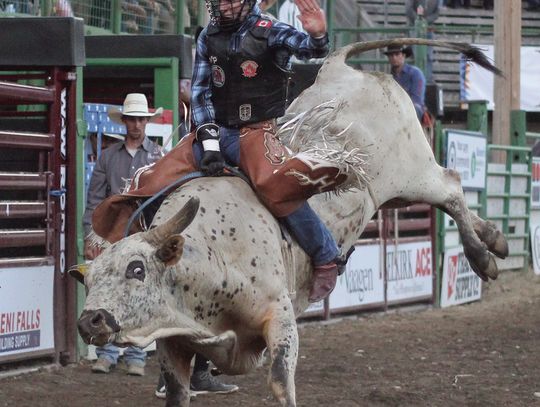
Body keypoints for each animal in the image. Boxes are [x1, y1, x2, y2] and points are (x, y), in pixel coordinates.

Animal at [78, 38, 508, 407]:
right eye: (89, 278)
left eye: (137, 268)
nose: (88, 320)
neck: (211, 256)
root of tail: (338, 68)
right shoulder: (174, 340)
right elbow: (177, 392)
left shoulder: (280, 316)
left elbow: (280, 382)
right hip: (398, 193)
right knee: (452, 198)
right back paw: (495, 240)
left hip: (413, 171)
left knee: (451, 186)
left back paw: (482, 257)